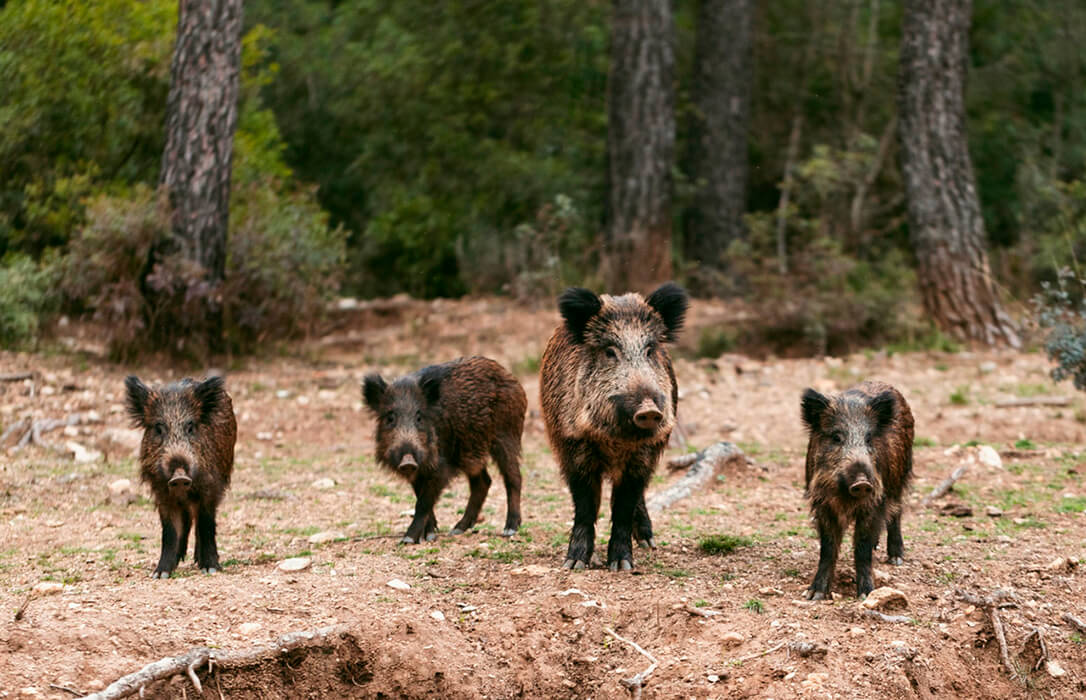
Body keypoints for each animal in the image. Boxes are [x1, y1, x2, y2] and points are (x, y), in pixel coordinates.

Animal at [125, 375, 236, 578]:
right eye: (159, 428)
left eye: (190, 427)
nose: (179, 477)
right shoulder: (162, 494)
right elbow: (169, 531)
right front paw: (160, 574)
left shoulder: (210, 488)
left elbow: (206, 524)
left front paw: (211, 569)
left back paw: (198, 561)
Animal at [362, 356, 526, 544]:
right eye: (390, 418)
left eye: (419, 417)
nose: (408, 461)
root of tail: (510, 376)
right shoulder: (419, 471)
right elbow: (421, 497)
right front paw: (429, 535)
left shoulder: (441, 467)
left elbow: (424, 502)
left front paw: (409, 539)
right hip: (470, 453)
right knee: (484, 482)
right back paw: (457, 530)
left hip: (506, 435)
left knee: (513, 477)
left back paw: (509, 529)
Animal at [540, 282, 688, 571]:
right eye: (610, 351)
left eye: (650, 350)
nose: (649, 410)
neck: (616, 441)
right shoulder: (572, 444)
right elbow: (585, 506)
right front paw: (574, 564)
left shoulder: (644, 453)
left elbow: (623, 506)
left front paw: (622, 565)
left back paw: (648, 542)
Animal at [800, 381, 914, 599]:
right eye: (836, 437)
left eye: (869, 438)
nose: (862, 483)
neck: (845, 497)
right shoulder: (823, 503)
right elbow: (827, 548)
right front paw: (814, 595)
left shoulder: (875, 501)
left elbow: (862, 548)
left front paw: (866, 594)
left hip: (900, 477)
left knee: (896, 511)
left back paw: (896, 559)